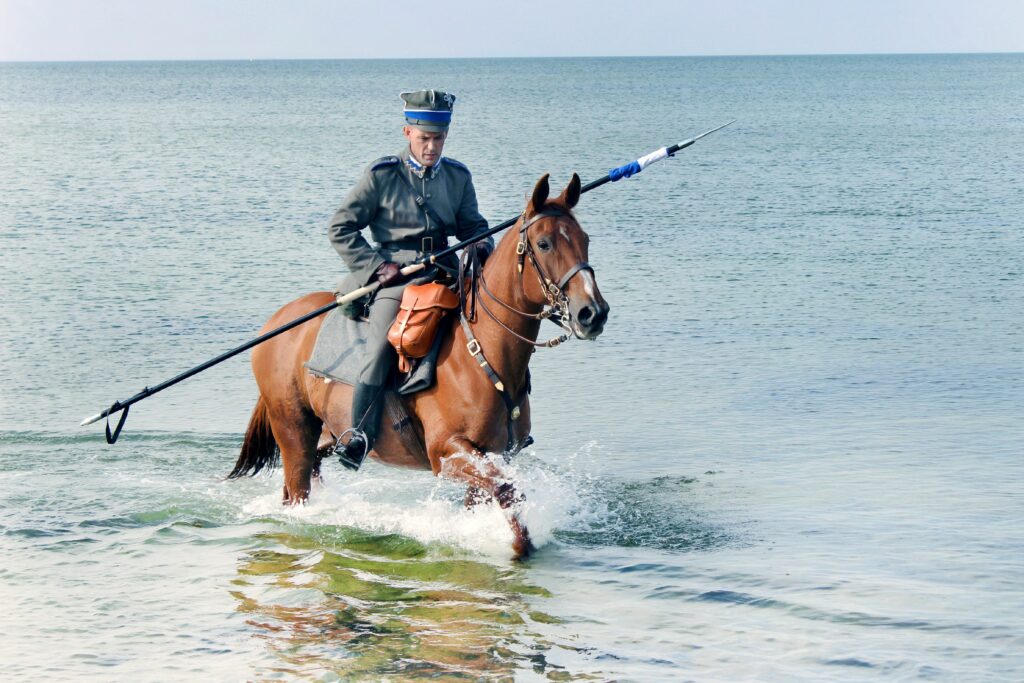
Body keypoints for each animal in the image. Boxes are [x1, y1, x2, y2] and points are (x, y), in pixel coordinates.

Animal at [228, 174, 606, 557]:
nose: (592, 313)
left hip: (323, 436)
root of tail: (276, 322)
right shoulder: (447, 453)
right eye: (543, 244)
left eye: (585, 240)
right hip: (293, 432)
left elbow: (495, 495)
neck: (480, 353)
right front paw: (517, 547)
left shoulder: (490, 455)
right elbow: (508, 491)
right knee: (296, 490)